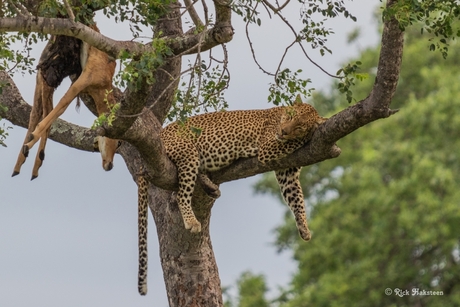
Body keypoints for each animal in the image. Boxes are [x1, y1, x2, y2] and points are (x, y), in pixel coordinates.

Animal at [162, 98, 328, 243]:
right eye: (290, 116)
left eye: (299, 127)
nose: (283, 131)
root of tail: (161, 131)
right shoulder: (266, 147)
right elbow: (296, 141)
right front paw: (315, 128)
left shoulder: (287, 173)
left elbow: (296, 199)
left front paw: (304, 227)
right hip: (187, 151)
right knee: (181, 194)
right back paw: (191, 221)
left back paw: (210, 187)